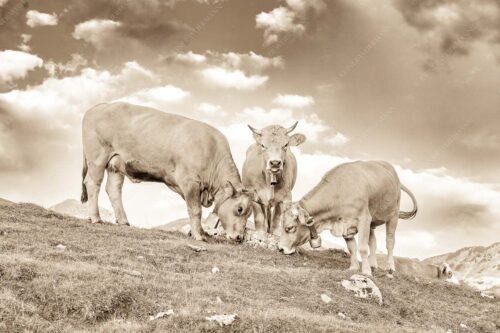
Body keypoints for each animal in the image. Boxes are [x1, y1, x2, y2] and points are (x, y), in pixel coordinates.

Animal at [82, 102, 256, 240]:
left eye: (249, 213)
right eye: (240, 209)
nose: (240, 238)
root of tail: (100, 106)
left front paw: (200, 232)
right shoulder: (190, 182)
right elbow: (195, 210)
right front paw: (199, 236)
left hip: (116, 164)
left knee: (113, 189)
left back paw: (123, 221)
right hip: (97, 158)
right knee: (92, 183)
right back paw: (95, 218)